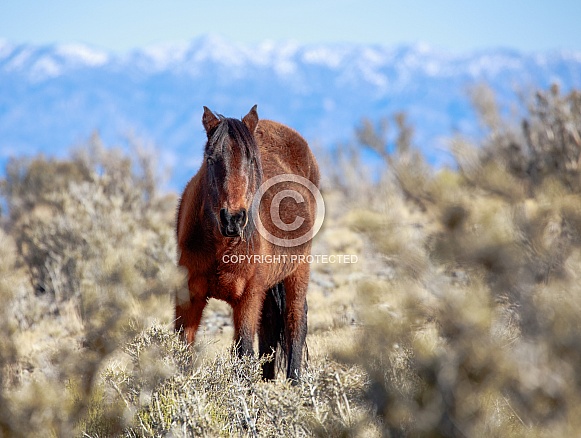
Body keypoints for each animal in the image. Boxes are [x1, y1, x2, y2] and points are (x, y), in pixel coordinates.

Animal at [177, 104, 322, 382]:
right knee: (270, 325)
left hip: (298, 270)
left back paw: (295, 383)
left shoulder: (248, 296)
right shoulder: (190, 294)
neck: (221, 247)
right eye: (210, 160)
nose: (233, 218)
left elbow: (243, 352)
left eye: (252, 160)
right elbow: (181, 347)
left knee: (295, 321)